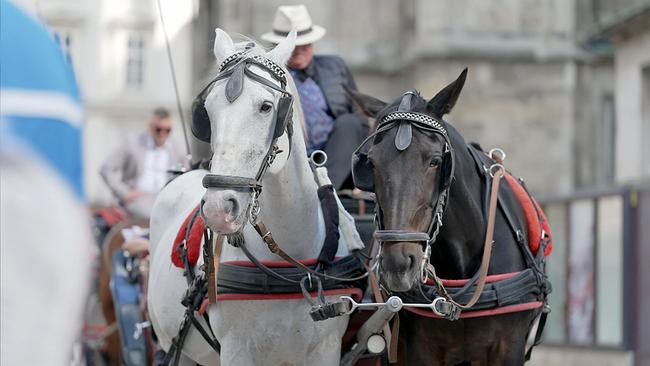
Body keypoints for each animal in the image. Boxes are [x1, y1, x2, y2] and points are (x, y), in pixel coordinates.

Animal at [146, 29, 352, 366]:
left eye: (266, 107)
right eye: (207, 111)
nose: (219, 209)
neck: (288, 261)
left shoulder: (327, 349)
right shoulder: (237, 350)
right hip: (175, 347)